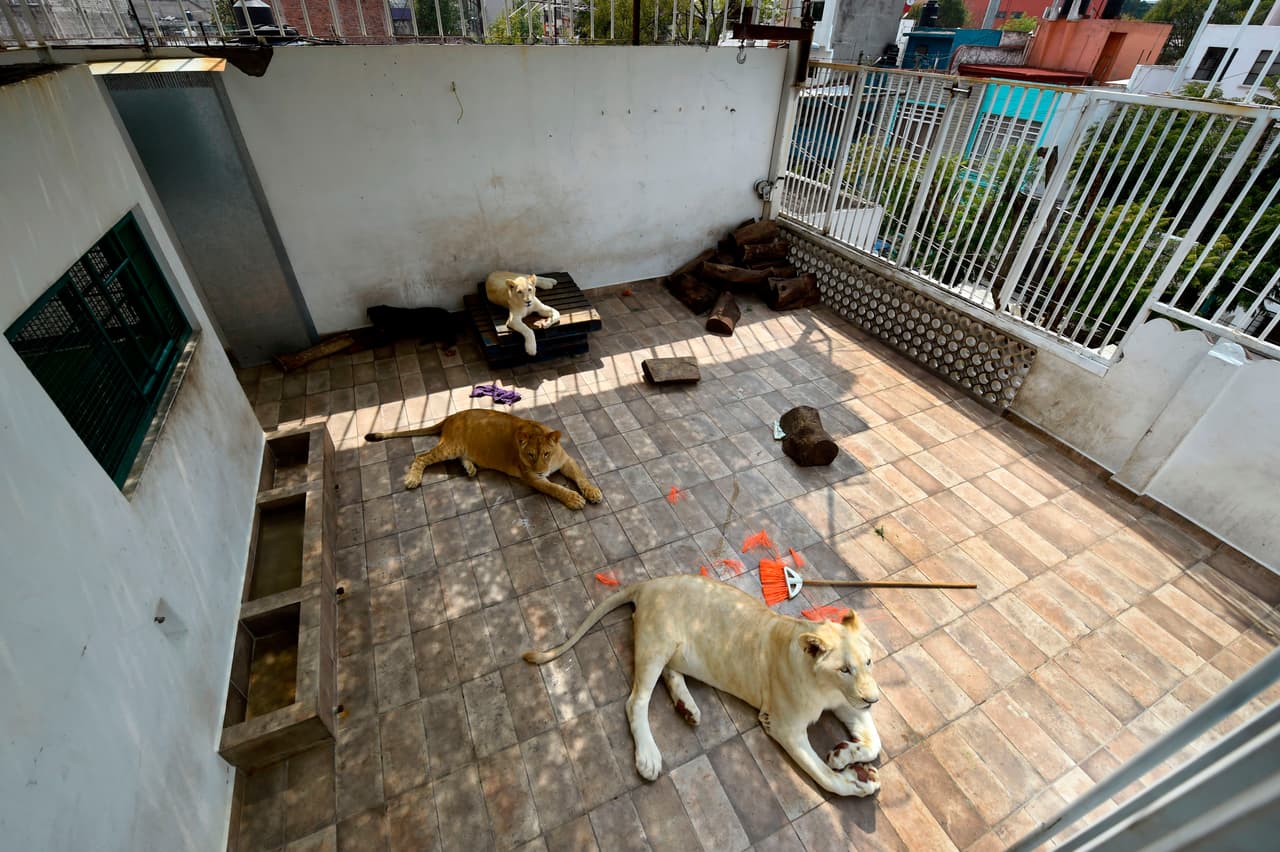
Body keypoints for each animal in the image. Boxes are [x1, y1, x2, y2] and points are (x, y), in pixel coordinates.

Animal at [365, 409, 602, 509]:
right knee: (422, 456)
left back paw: (469, 469)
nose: (542, 470)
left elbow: (581, 476)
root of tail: (450, 417)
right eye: (530, 455)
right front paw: (574, 499)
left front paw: (593, 492)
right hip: (450, 446)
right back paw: (413, 479)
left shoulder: (566, 460)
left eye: (546, 453)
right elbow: (555, 488)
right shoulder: (532, 478)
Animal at [523, 575, 882, 797]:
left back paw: (687, 708)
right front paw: (857, 783)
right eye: (844, 669)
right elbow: (823, 776)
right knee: (635, 701)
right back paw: (649, 756)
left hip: (674, 649)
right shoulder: (782, 725)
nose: (874, 700)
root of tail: (647, 584)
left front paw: (844, 754)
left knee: (670, 674)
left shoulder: (846, 701)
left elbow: (875, 742)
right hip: (657, 642)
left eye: (868, 662)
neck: (825, 686)